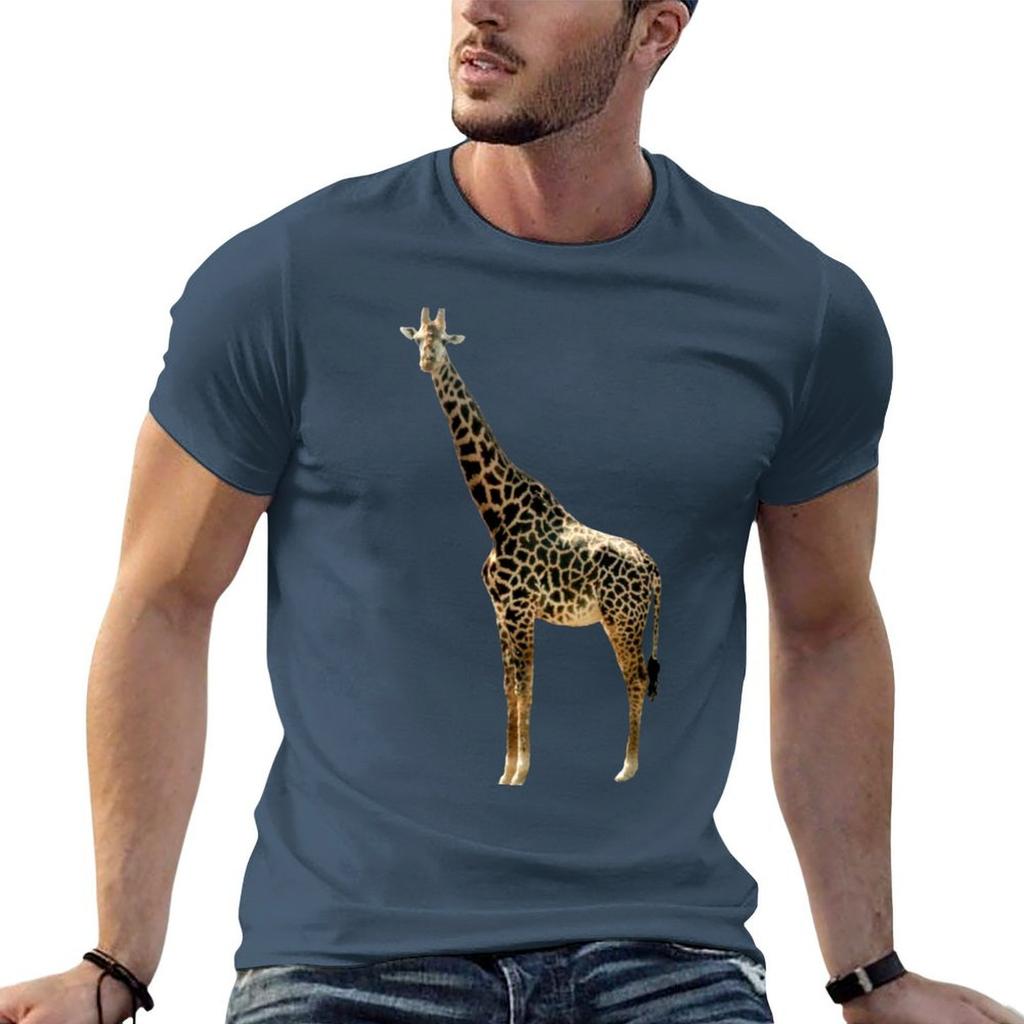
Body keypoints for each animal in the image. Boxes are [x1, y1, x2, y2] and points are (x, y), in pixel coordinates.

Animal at [398, 307, 662, 784]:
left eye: (443, 340)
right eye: (418, 339)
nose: (427, 361)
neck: (496, 514)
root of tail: (652, 567)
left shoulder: (519, 608)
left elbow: (521, 685)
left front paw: (519, 771)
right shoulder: (503, 610)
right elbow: (515, 686)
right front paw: (509, 771)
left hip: (622, 618)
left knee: (635, 678)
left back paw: (627, 768)